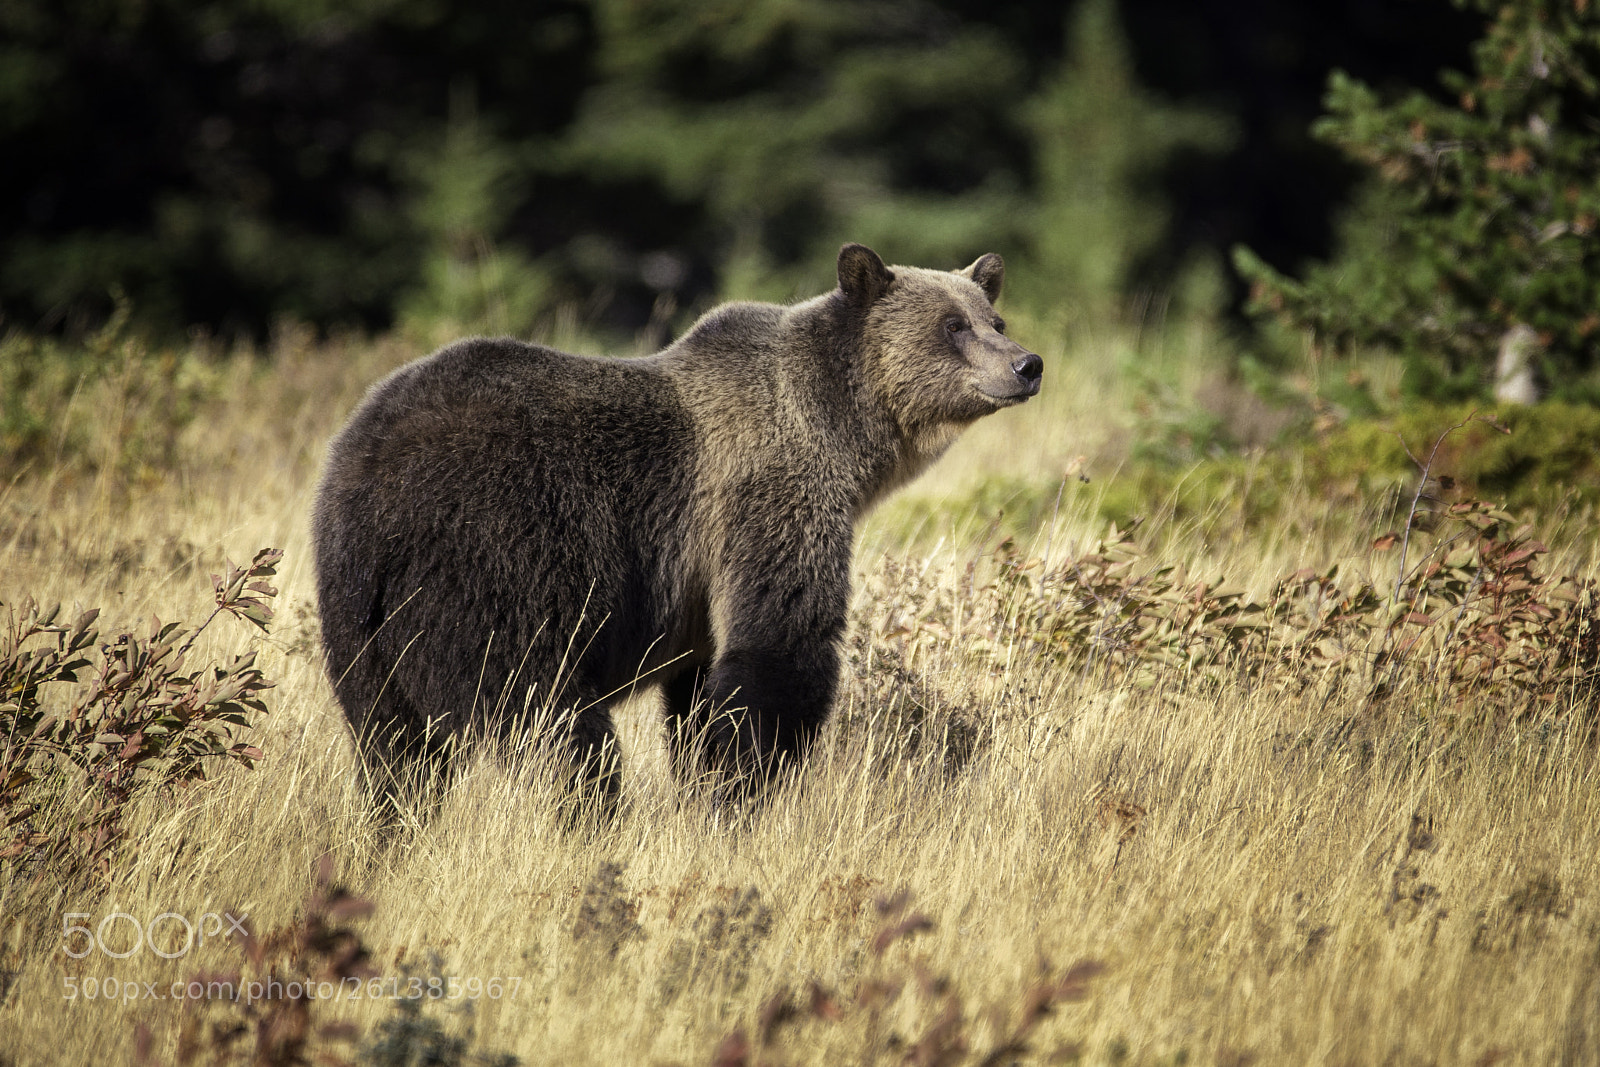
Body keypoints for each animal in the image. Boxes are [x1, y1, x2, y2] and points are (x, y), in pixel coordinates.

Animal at [312, 243, 1041, 810]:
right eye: (952, 324)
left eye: (994, 317)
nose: (1026, 363)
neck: (840, 432)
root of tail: (372, 487)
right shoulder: (765, 493)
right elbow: (780, 646)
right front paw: (744, 788)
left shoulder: (695, 589)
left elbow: (699, 691)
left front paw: (706, 778)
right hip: (497, 566)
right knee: (551, 724)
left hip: (359, 622)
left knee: (395, 752)